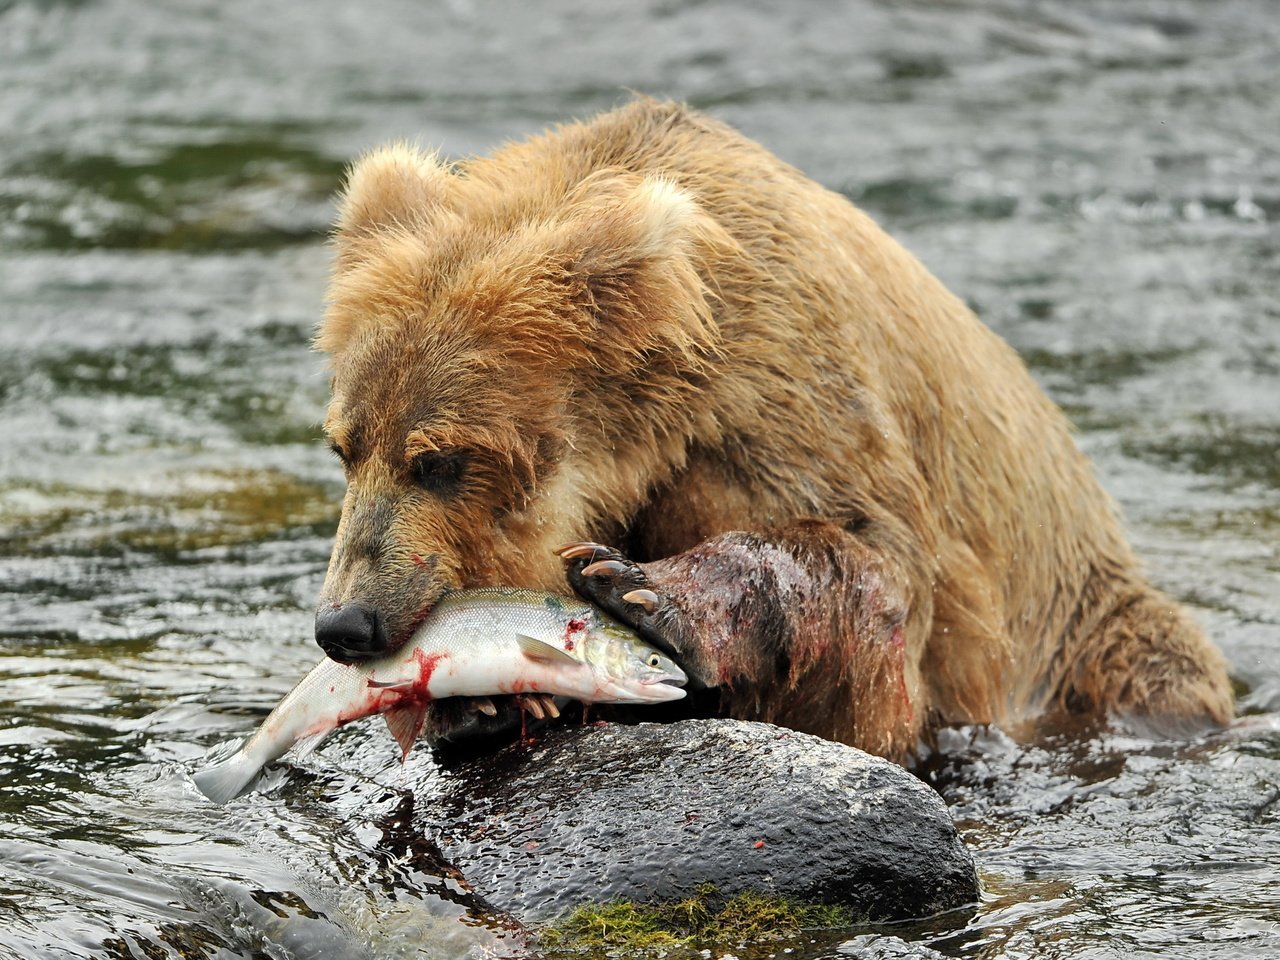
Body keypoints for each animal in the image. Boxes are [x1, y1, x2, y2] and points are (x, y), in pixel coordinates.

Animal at [314, 96, 1233, 757]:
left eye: (441, 459)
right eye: (345, 447)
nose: (345, 624)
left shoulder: (785, 393)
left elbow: (872, 570)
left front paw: (641, 588)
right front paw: (484, 702)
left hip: (1086, 629)